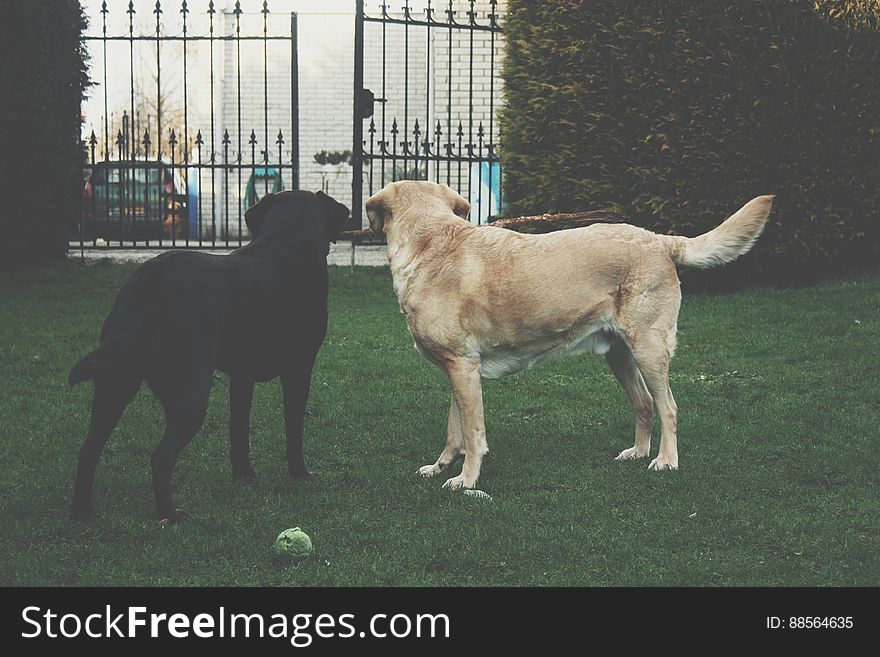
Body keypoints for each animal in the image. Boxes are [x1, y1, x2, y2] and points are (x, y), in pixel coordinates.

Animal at [69, 191, 350, 524]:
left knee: (88, 449)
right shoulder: (299, 368)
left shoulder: (242, 376)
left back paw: (82, 512)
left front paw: (244, 474)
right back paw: (170, 514)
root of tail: (146, 281)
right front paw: (301, 474)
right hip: (190, 392)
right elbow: (294, 429)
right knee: (160, 457)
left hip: (115, 381)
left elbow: (238, 428)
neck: (286, 240)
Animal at [368, 182, 772, 490]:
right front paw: (441, 467)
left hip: (649, 348)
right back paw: (637, 453)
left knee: (668, 406)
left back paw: (665, 460)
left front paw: (466, 481)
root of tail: (660, 240)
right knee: (643, 403)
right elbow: (456, 431)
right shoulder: (460, 369)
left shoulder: (463, 367)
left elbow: (473, 433)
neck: (431, 245)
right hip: (619, 354)